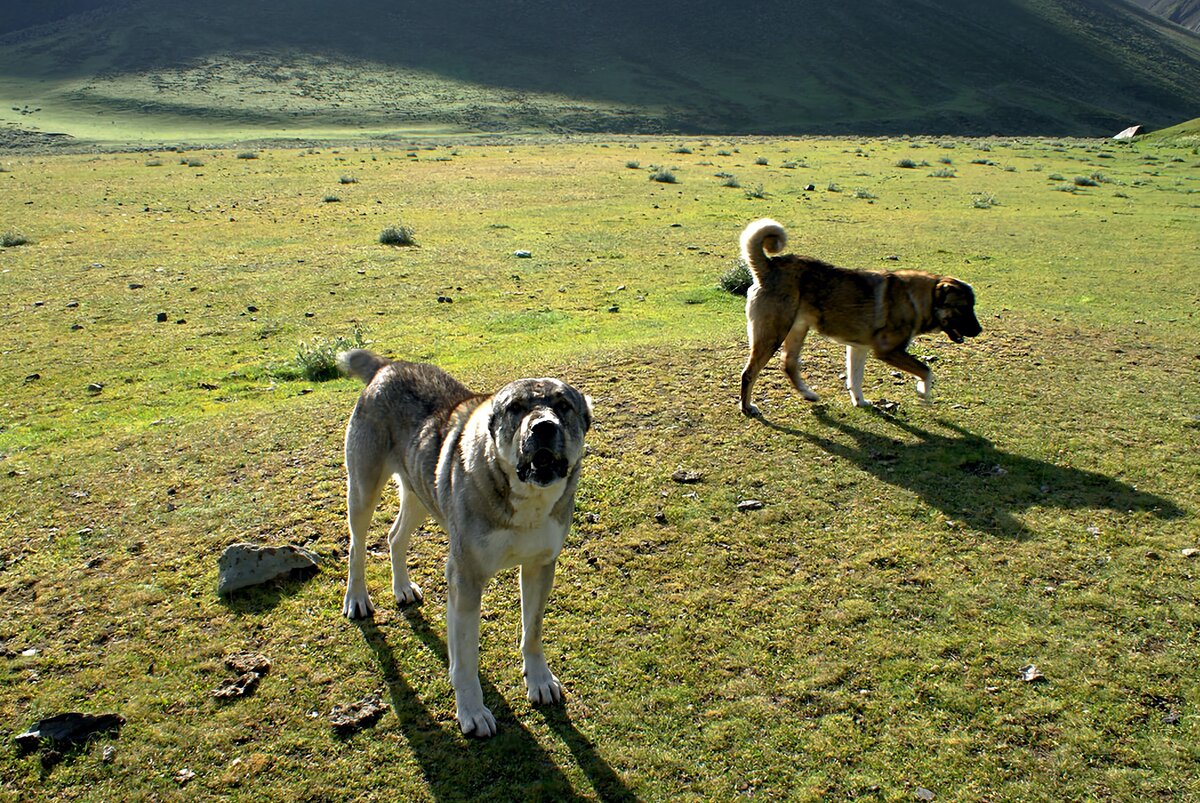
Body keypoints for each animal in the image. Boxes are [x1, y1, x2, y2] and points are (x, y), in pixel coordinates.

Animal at [739, 219, 984, 412]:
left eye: (972, 306)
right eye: (963, 307)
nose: (979, 330)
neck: (917, 299)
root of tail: (770, 266)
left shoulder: (858, 348)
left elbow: (855, 379)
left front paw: (860, 402)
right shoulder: (887, 350)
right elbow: (926, 370)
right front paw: (924, 393)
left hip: (797, 330)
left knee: (788, 364)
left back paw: (808, 394)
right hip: (773, 335)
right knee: (749, 373)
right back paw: (747, 407)